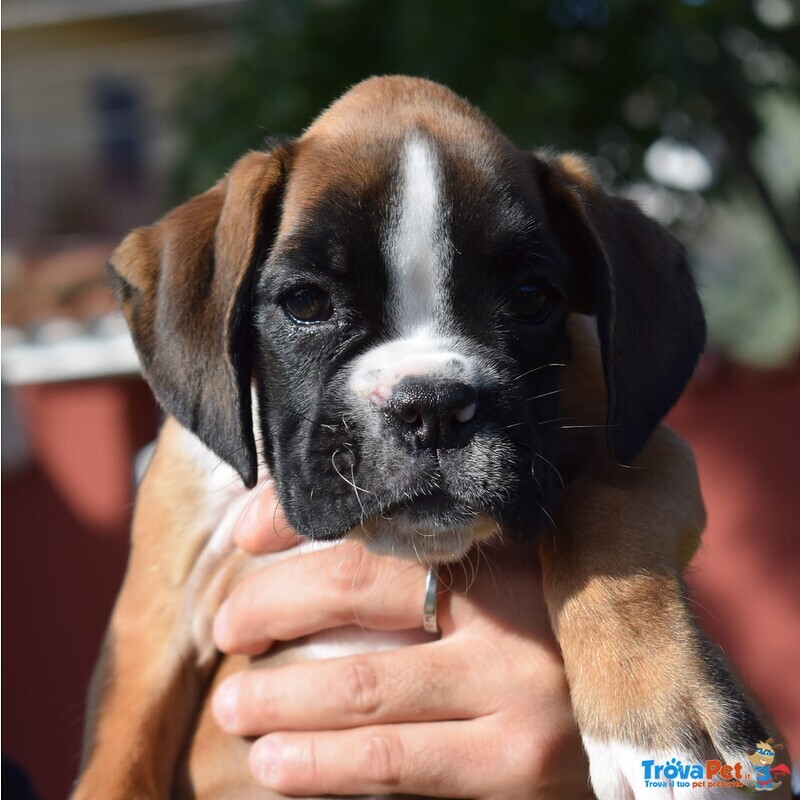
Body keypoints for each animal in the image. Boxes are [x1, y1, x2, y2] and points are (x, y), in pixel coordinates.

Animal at [70, 76, 780, 800]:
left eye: (532, 297)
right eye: (305, 303)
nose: (434, 408)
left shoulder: (645, 449)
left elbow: (607, 516)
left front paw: (659, 722)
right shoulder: (153, 623)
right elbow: (120, 759)